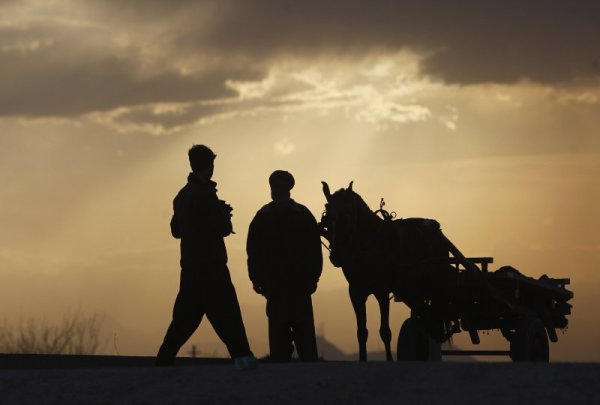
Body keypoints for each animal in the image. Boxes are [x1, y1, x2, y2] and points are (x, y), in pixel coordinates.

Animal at [318, 180, 454, 360]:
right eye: (327, 216)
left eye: (347, 214)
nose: (337, 256)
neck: (367, 244)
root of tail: (436, 229)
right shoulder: (355, 292)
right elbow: (361, 332)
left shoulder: (381, 290)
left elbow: (385, 332)